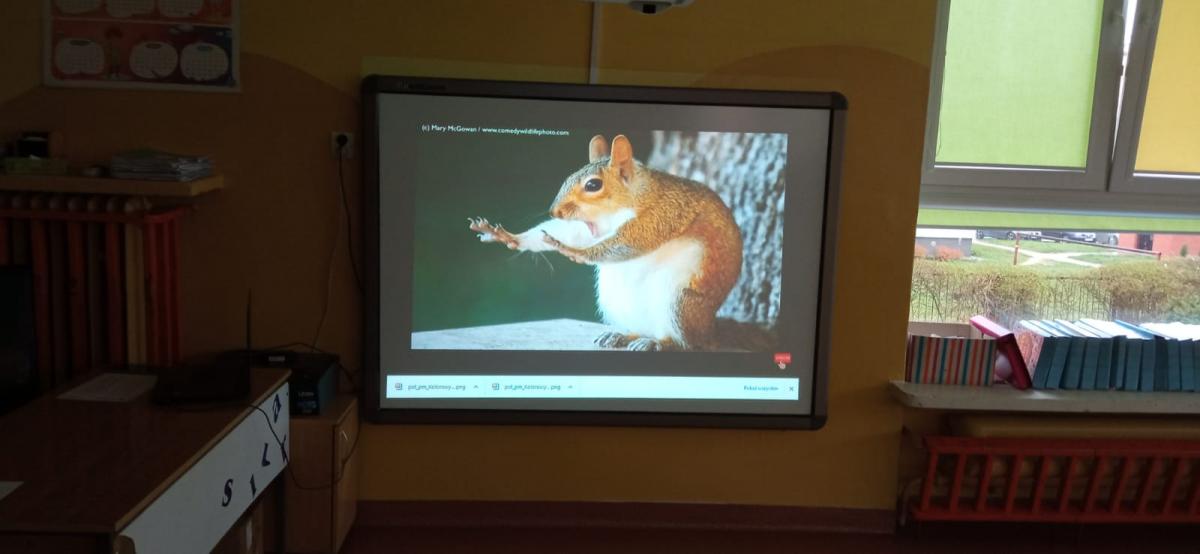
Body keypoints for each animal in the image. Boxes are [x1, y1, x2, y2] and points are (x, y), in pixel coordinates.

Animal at [468, 134, 745, 351]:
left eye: (593, 185)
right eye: (568, 177)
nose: (555, 211)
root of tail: (709, 332)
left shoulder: (662, 215)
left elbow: (631, 242)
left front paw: (575, 252)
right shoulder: (588, 227)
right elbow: (568, 232)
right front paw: (507, 236)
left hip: (680, 303)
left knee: (685, 342)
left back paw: (657, 342)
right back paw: (623, 335)